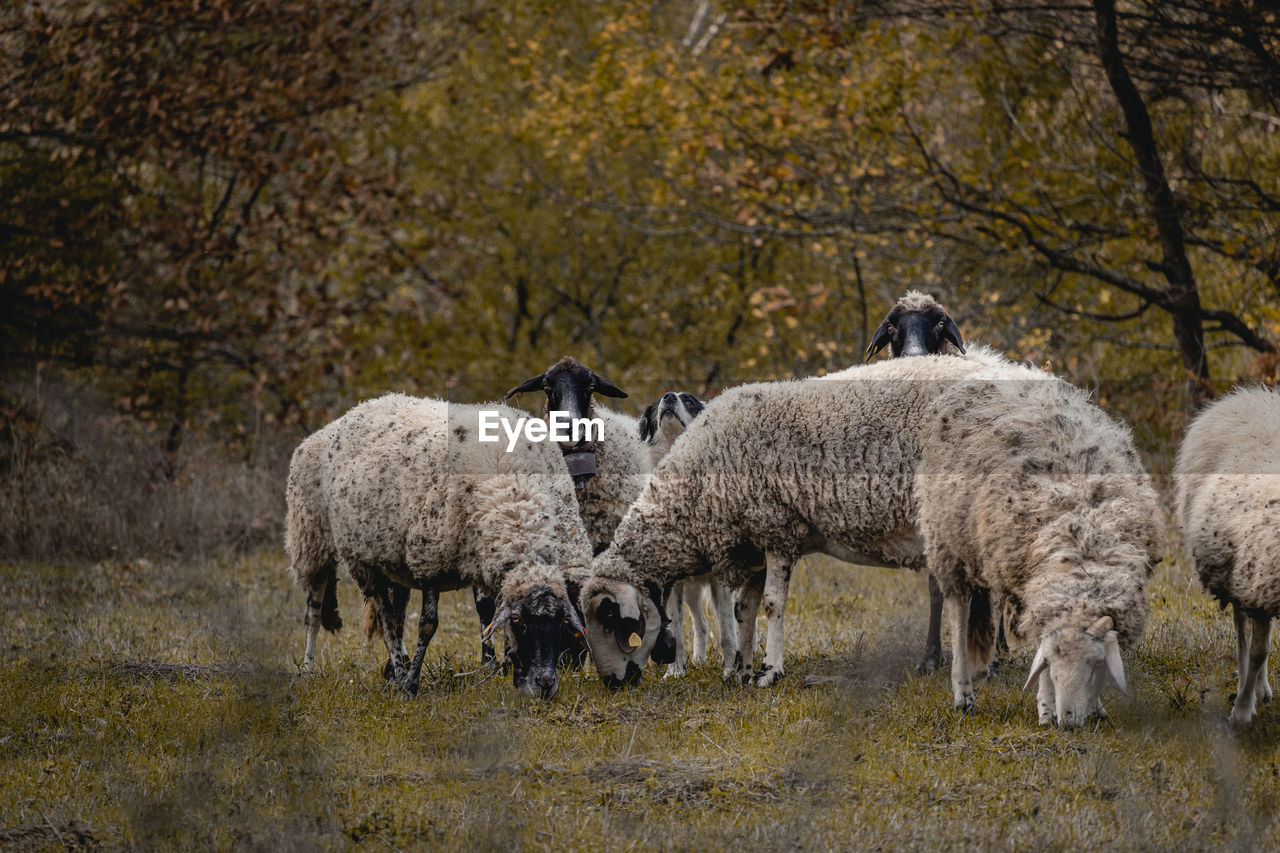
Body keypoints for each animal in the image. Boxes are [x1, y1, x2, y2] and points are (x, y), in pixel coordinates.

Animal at [282, 391, 586, 696]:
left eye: (562, 620)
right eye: (518, 620)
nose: (546, 683)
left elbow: (485, 613)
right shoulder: (430, 560)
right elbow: (428, 625)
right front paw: (411, 686)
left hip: (391, 558)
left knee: (395, 612)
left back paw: (394, 669)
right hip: (332, 548)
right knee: (338, 612)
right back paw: (318, 669)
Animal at [637, 389, 732, 676]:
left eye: (689, 401)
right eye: (659, 401)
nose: (669, 397)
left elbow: (727, 629)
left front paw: (731, 670)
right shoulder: (671, 581)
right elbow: (676, 628)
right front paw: (676, 671)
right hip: (690, 588)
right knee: (701, 624)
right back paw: (698, 660)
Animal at [916, 368, 1167, 722]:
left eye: (1095, 666)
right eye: (1053, 665)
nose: (1070, 721)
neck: (1084, 542)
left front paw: (1095, 707)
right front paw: (1047, 708)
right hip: (948, 541)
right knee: (958, 612)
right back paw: (963, 694)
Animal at [1172, 384, 1280, 722]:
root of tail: (1248, 394)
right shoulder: (1259, 584)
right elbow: (1258, 651)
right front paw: (1242, 710)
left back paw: (1261, 688)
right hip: (1237, 574)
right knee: (1243, 631)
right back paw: (1250, 685)